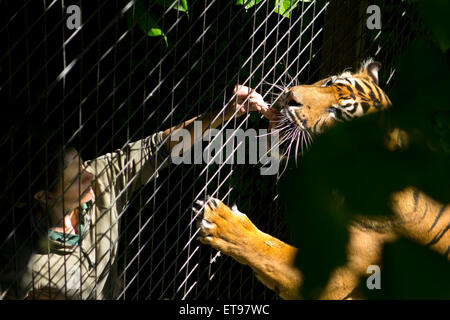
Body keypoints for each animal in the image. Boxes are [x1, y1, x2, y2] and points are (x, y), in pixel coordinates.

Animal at [192, 59, 450, 300]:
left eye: (338, 114)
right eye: (329, 83)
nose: (290, 97)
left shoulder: (332, 274)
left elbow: (268, 249)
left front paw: (221, 221)